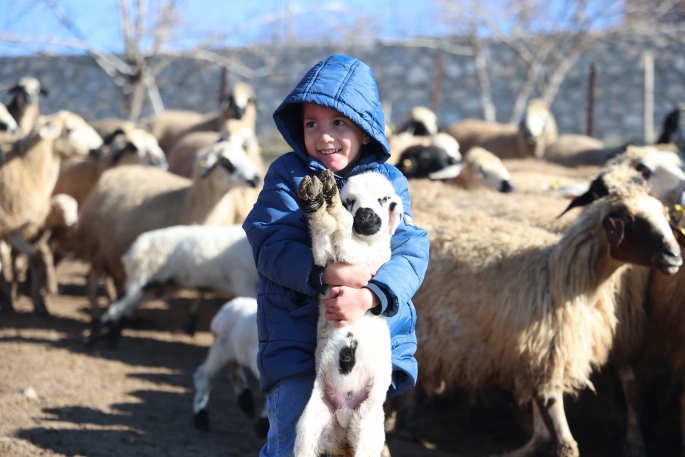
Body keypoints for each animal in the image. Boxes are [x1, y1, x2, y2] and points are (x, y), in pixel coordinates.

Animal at [75, 137, 260, 316]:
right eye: (225, 161)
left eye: (244, 154)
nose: (257, 179)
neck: (188, 203)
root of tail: (115, 172)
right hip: (99, 247)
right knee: (94, 280)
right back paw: (98, 311)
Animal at [292, 169, 400, 456]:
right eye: (351, 200)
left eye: (384, 199)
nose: (365, 215)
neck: (366, 243)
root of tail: (344, 418)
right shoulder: (324, 259)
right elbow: (323, 235)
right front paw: (317, 199)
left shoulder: (364, 258)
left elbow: (342, 229)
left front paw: (330, 201)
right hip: (309, 426)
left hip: (369, 428)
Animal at [408, 182, 680, 456]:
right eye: (629, 218)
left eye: (663, 214)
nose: (674, 256)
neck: (562, 277)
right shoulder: (539, 359)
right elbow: (564, 442)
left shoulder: (542, 361)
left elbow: (545, 433)